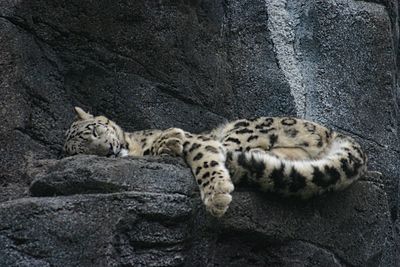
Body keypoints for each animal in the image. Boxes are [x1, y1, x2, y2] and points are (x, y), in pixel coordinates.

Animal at [64, 107, 368, 218]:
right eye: (82, 152)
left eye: (94, 130)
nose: (107, 151)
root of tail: (333, 133)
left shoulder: (198, 141)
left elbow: (203, 158)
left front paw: (217, 198)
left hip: (243, 129)